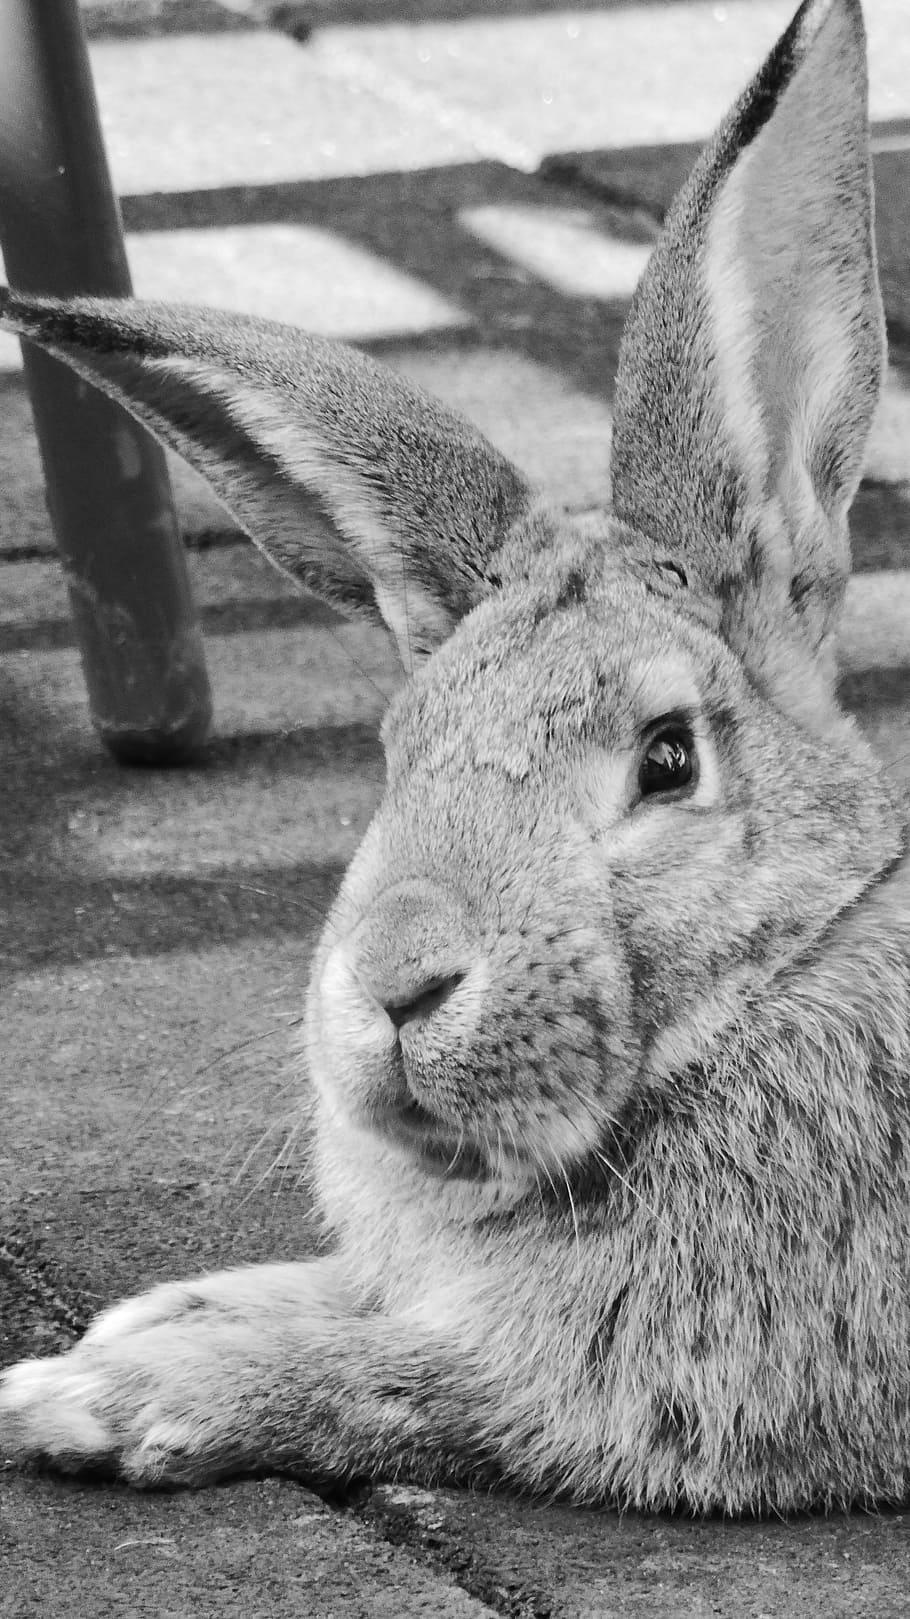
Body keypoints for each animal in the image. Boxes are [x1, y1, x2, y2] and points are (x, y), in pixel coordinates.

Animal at [1, 0, 908, 1515]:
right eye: (394, 754)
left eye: (668, 760)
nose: (392, 984)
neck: (790, 964)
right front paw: (155, 1316)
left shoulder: (637, 1380)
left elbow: (387, 1377)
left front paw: (101, 1392)